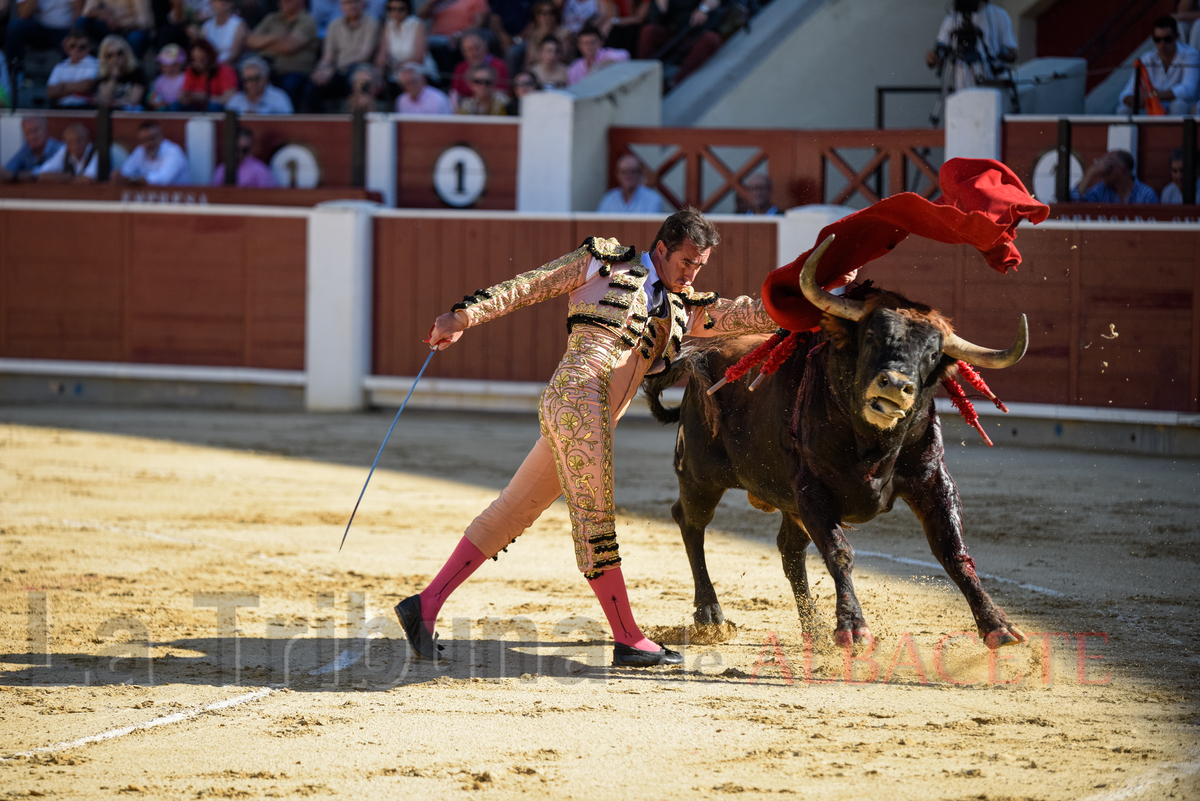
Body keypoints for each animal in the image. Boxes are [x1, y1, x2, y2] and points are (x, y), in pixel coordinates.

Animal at [648, 236, 1032, 652]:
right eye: (871, 336)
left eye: (932, 354)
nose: (896, 385)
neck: (873, 443)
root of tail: (703, 355)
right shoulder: (813, 489)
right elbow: (839, 551)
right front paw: (853, 627)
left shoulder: (933, 480)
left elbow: (953, 551)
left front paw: (998, 624)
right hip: (700, 476)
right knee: (690, 522)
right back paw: (710, 614)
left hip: (782, 501)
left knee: (788, 550)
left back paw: (813, 628)